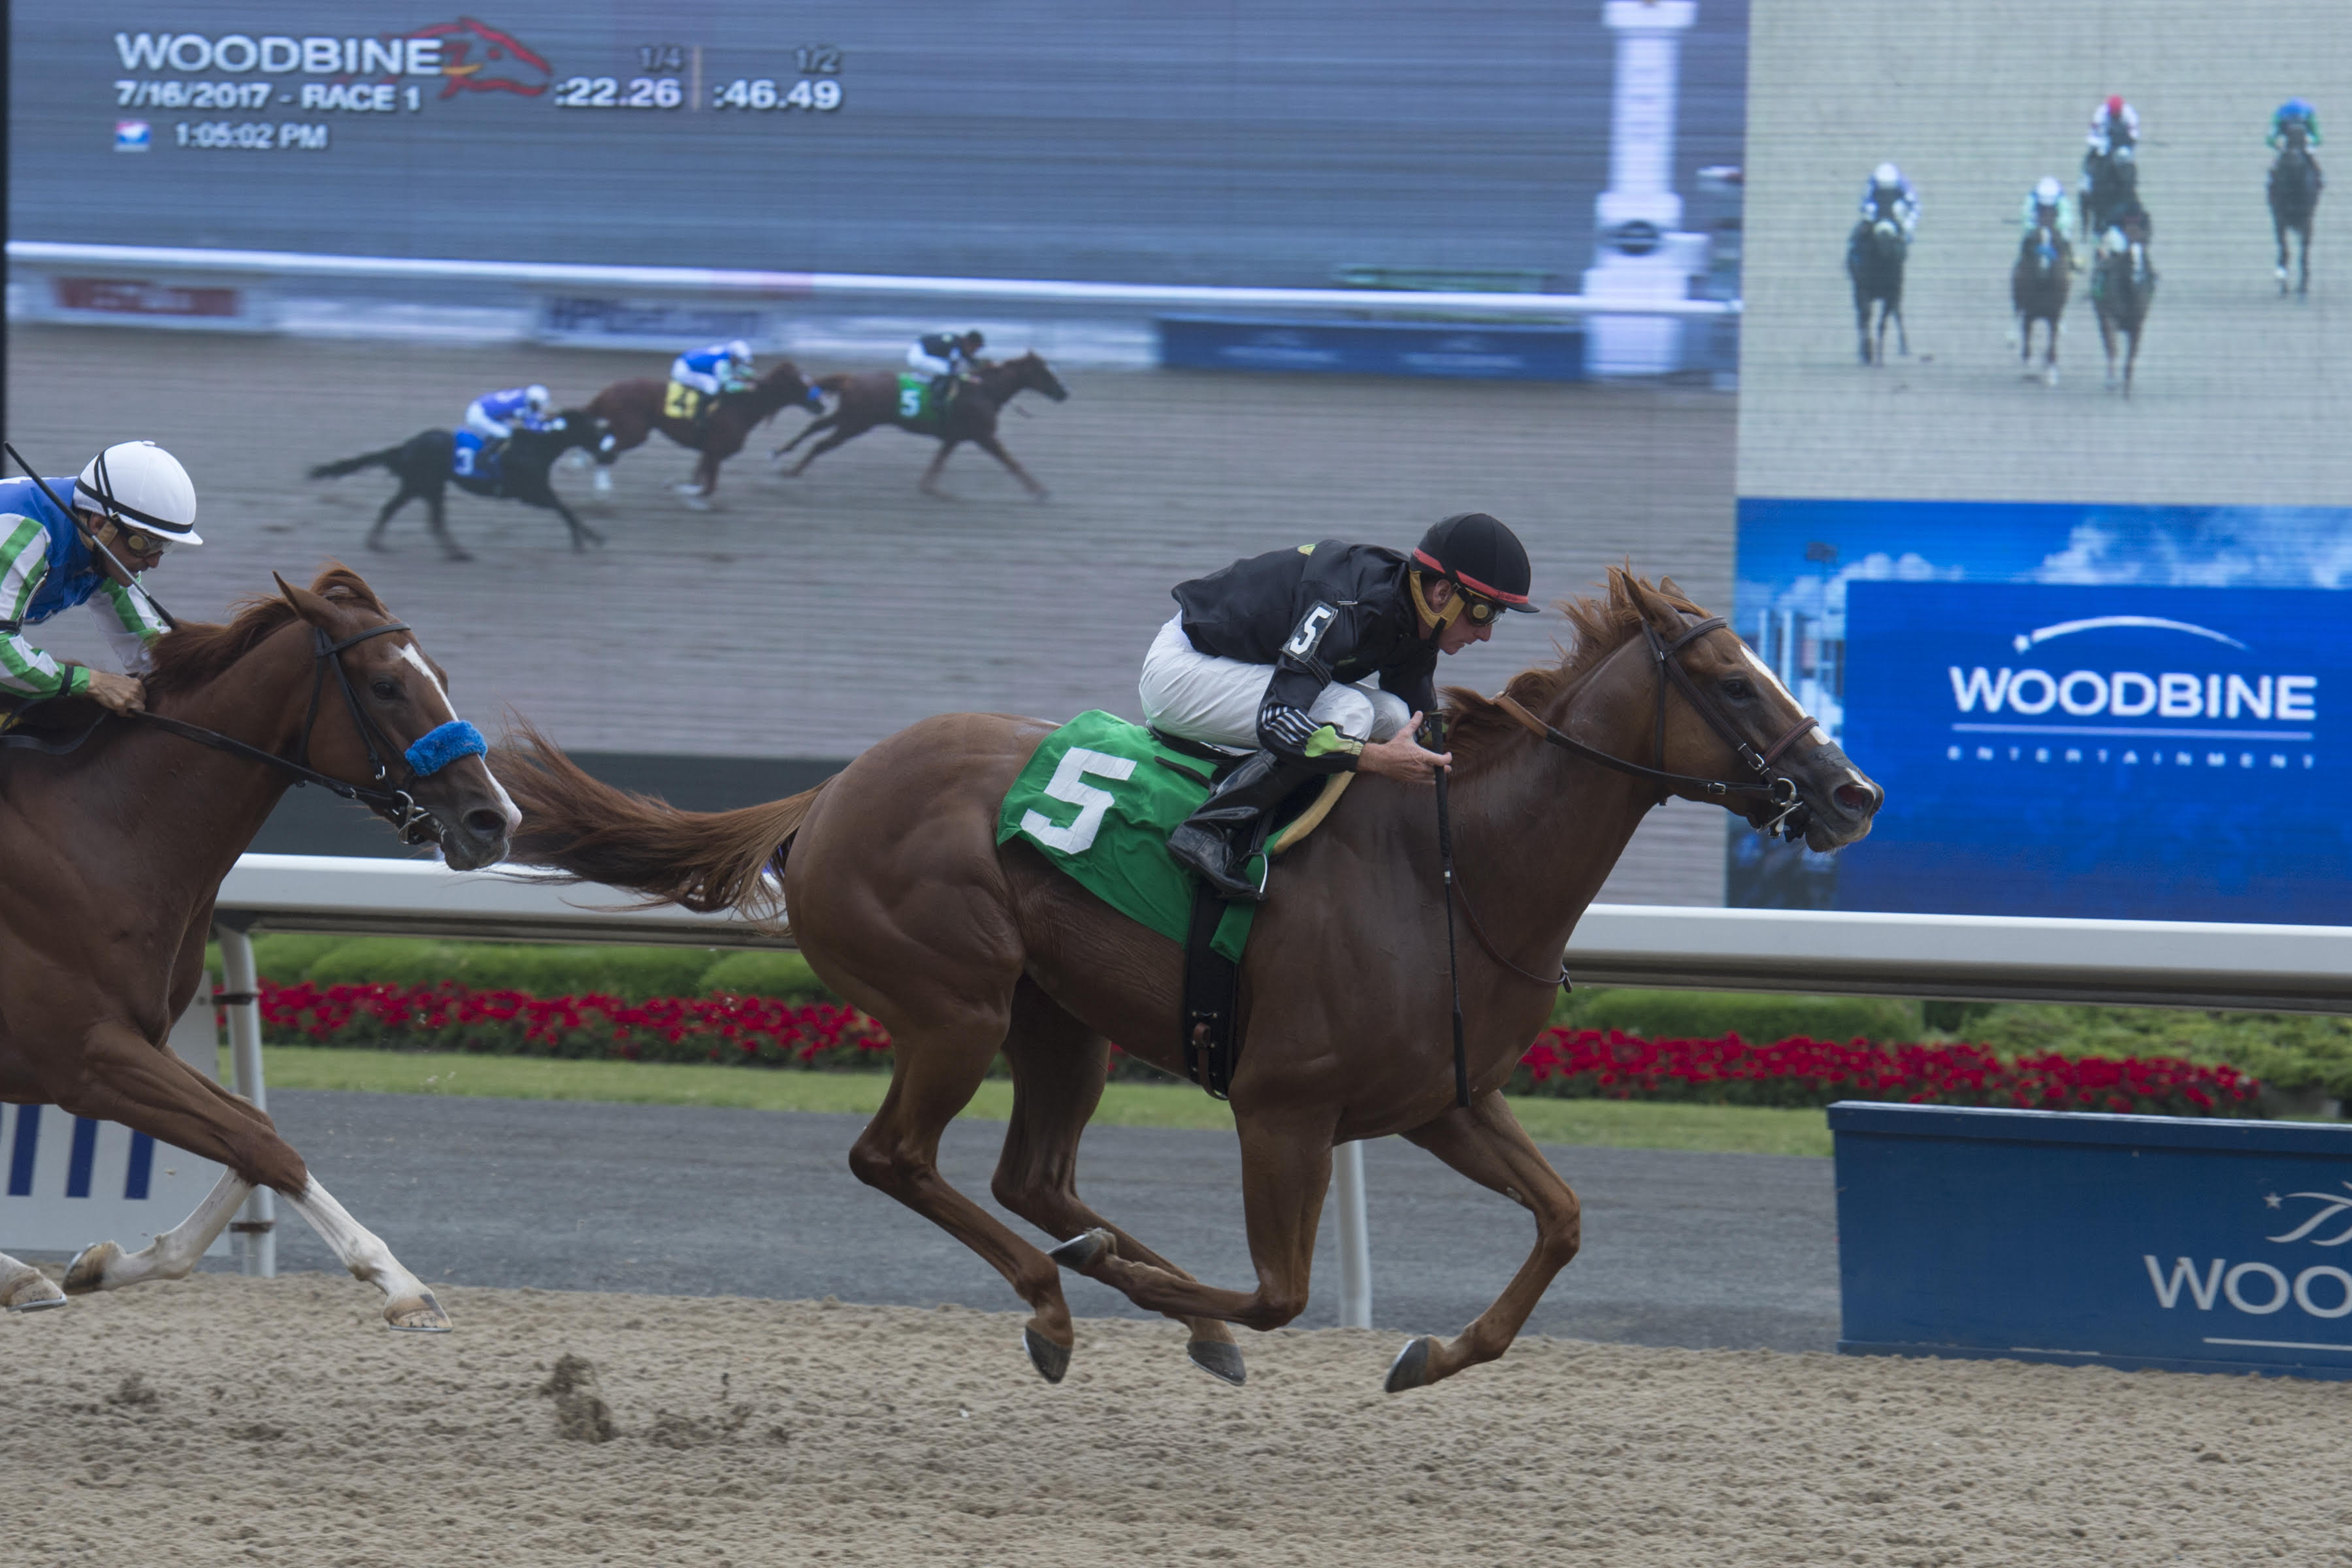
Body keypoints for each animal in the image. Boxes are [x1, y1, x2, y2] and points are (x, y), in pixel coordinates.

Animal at [0, 564, 515, 1326]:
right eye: (385, 686)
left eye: (442, 675)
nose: (495, 819)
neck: (100, 831)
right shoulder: (85, 1056)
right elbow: (262, 1144)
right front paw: (401, 1284)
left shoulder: (140, 1042)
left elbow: (253, 1127)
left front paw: (107, 1263)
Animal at [491, 573, 1872, 1401]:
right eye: (1738, 681)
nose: (1854, 794)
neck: (1454, 866)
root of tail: (827, 793)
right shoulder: (1285, 1107)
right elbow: (1281, 1293)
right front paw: (1169, 1296)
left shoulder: (1441, 1099)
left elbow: (1565, 1218)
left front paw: (1431, 1353)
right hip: (954, 1004)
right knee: (900, 1159)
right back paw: (1061, 1304)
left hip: (1060, 1019)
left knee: (1031, 1177)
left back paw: (1109, 1279)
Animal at [583, 362, 823, 510]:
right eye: (800, 383)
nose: (821, 404)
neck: (742, 406)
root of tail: (608, 391)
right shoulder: (716, 452)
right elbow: (708, 488)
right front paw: (677, 489)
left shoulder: (708, 451)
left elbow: (699, 479)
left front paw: (688, 494)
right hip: (635, 432)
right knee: (605, 452)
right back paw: (601, 489)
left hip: (625, 428)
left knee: (600, 444)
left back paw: (583, 464)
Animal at [776, 352, 1072, 500]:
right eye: (1045, 372)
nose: (1064, 393)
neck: (985, 390)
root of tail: (851, 378)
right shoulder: (983, 435)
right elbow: (1011, 462)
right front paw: (1039, 490)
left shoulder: (955, 437)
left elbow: (938, 462)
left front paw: (930, 488)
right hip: (856, 423)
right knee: (821, 443)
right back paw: (793, 471)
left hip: (847, 417)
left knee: (815, 427)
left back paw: (781, 454)